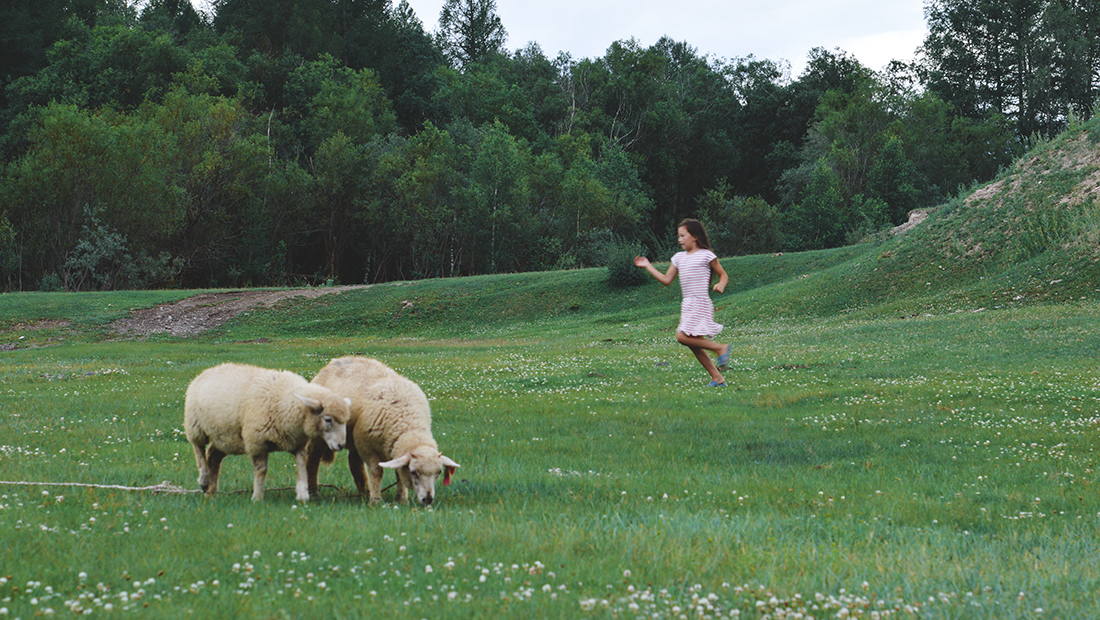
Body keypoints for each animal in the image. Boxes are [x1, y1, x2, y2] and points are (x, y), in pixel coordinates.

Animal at [182, 360, 347, 501]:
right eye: (328, 419)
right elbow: (261, 470)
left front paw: (302, 495)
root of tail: (208, 370)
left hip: (225, 436)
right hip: (195, 427)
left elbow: (301, 467)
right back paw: (204, 479)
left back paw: (210, 491)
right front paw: (257, 497)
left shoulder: (298, 444)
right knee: (199, 450)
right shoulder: (257, 442)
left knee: (213, 455)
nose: (341, 445)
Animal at [310, 356, 459, 505]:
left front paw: (401, 499)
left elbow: (398, 472)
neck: (408, 425)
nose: (427, 499)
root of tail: (336, 360)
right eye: (414, 472)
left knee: (354, 462)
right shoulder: (367, 447)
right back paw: (313, 492)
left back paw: (364, 492)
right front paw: (376, 500)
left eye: (439, 473)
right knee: (313, 458)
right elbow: (376, 472)